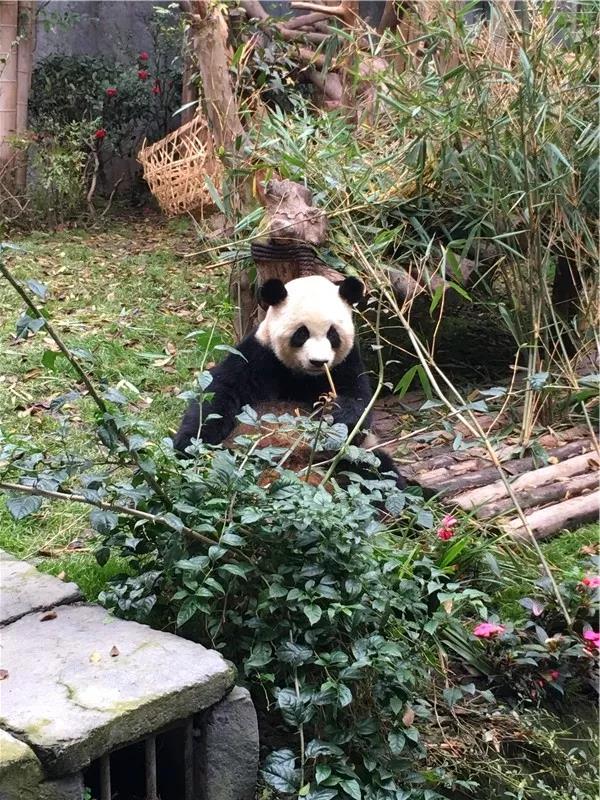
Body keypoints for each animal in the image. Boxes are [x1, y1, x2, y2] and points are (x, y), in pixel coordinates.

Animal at [176, 276, 406, 488]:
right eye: (302, 333)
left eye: (332, 334)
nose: (318, 361)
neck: (304, 376)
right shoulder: (258, 356)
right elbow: (219, 395)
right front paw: (189, 447)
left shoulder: (347, 365)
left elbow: (359, 406)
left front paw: (337, 416)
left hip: (359, 457)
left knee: (378, 472)